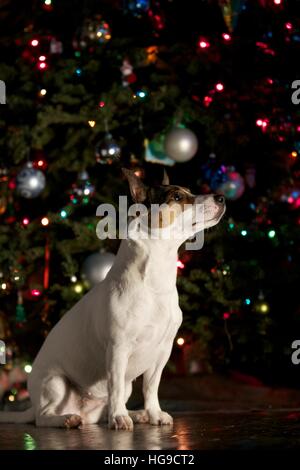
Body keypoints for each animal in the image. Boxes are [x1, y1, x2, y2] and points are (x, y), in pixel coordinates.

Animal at [0, 170, 225, 430]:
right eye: (177, 196)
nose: (221, 197)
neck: (155, 280)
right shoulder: (119, 348)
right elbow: (114, 384)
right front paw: (119, 418)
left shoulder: (163, 352)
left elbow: (151, 387)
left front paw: (154, 414)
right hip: (55, 382)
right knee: (43, 418)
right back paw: (69, 419)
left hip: (120, 389)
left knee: (103, 410)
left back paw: (136, 414)